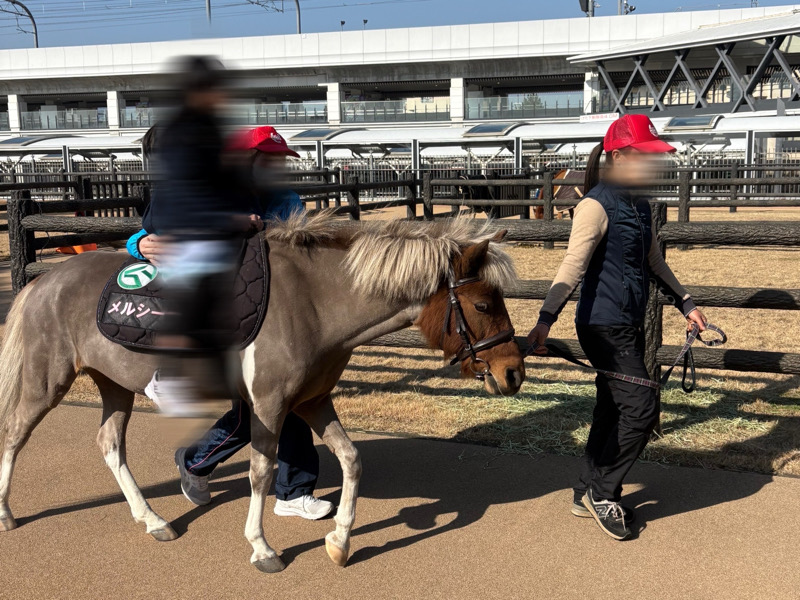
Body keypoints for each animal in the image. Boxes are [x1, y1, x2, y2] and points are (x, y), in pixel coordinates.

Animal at [0, 213, 525, 573]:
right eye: (483, 303)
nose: (514, 372)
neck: (313, 302)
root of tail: (44, 281)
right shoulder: (269, 405)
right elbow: (261, 471)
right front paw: (262, 548)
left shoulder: (312, 401)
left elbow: (351, 458)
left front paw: (340, 542)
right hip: (47, 381)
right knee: (14, 434)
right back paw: (6, 513)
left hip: (114, 385)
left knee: (110, 445)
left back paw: (154, 520)